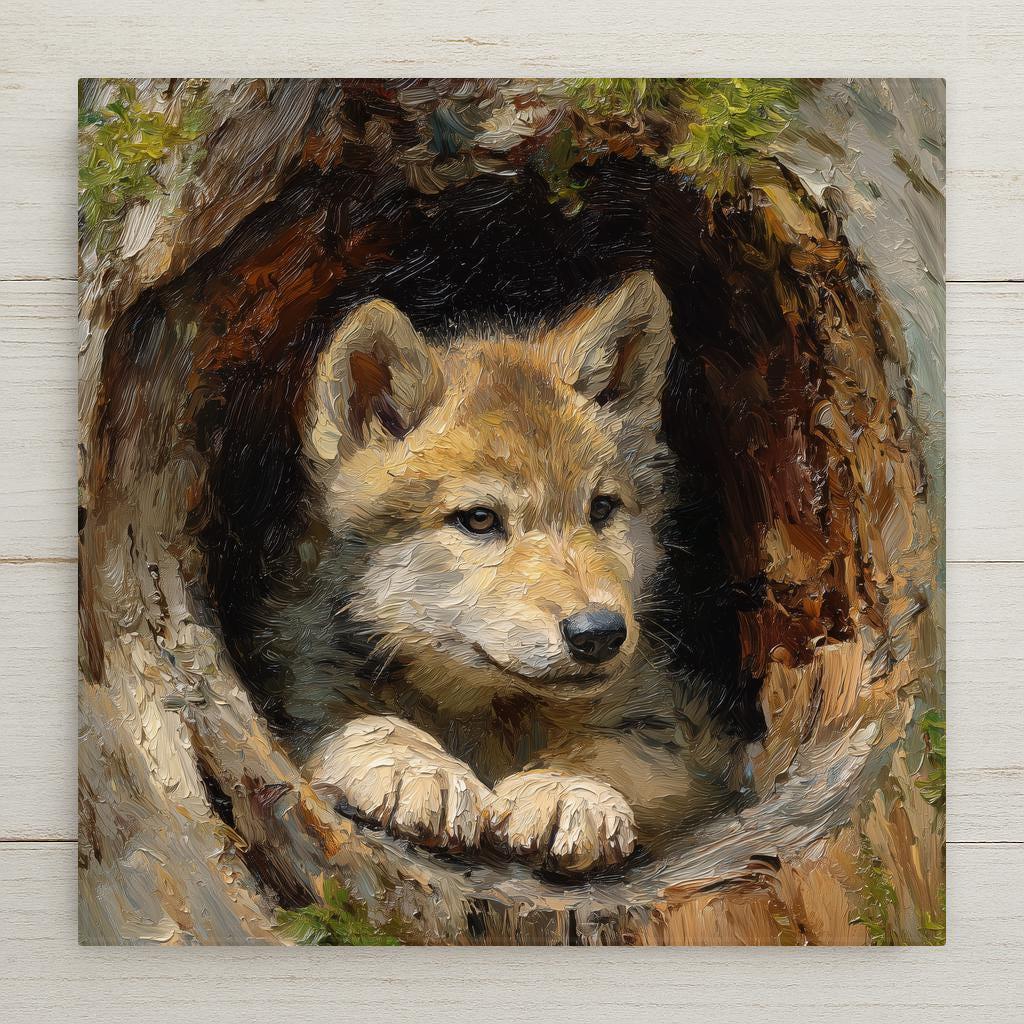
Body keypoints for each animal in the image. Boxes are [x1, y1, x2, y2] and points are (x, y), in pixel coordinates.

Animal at [256, 272, 740, 874]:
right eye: (480, 519)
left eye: (602, 508)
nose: (599, 634)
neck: (487, 717)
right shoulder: (305, 696)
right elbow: (360, 723)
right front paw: (416, 767)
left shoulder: (687, 745)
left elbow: (616, 750)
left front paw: (564, 787)